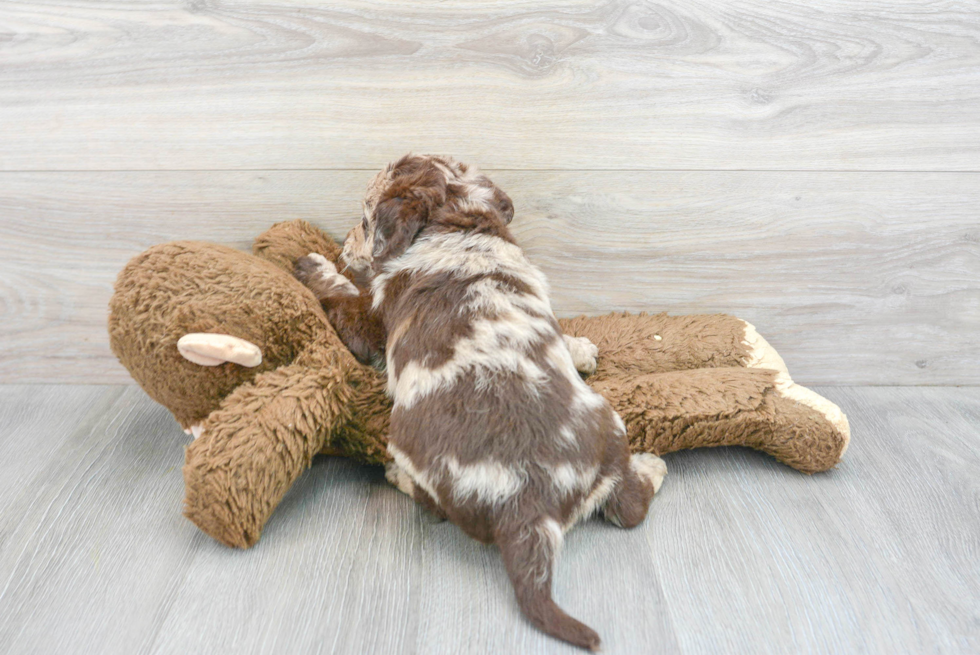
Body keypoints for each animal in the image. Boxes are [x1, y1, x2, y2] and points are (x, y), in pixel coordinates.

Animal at [296, 155, 668, 652]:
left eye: (364, 219)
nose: (343, 246)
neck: (457, 223)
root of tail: (529, 509)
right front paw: (581, 349)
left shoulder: (370, 324)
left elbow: (340, 292)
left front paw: (312, 263)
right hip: (610, 425)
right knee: (628, 508)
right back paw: (652, 466)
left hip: (407, 439)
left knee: (433, 508)